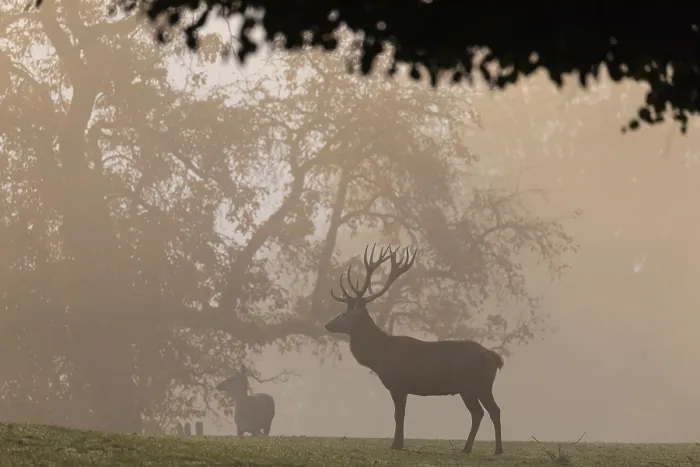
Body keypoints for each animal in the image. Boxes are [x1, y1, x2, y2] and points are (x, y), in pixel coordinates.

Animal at [324, 244, 505, 455]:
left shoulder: (397, 384)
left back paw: (488, 449)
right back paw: (477, 448)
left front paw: (396, 444)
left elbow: (398, 415)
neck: (378, 356)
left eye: (344, 314)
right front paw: (399, 443)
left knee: (485, 412)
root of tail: (494, 357)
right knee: (487, 411)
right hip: (477, 387)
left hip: (474, 385)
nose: (327, 325)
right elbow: (401, 414)